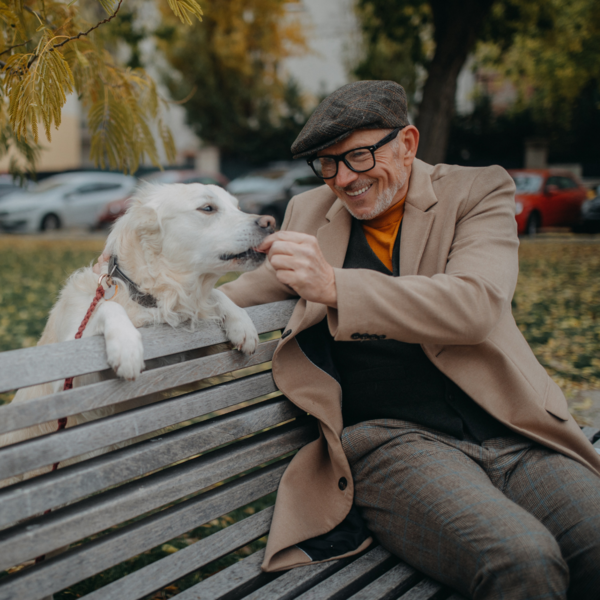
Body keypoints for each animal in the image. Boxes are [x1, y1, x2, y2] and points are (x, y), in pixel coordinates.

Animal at [0, 184, 274, 488]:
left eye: (238, 207)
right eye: (207, 208)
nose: (270, 222)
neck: (146, 294)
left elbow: (215, 294)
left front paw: (242, 323)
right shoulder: (70, 382)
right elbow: (107, 305)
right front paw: (127, 346)